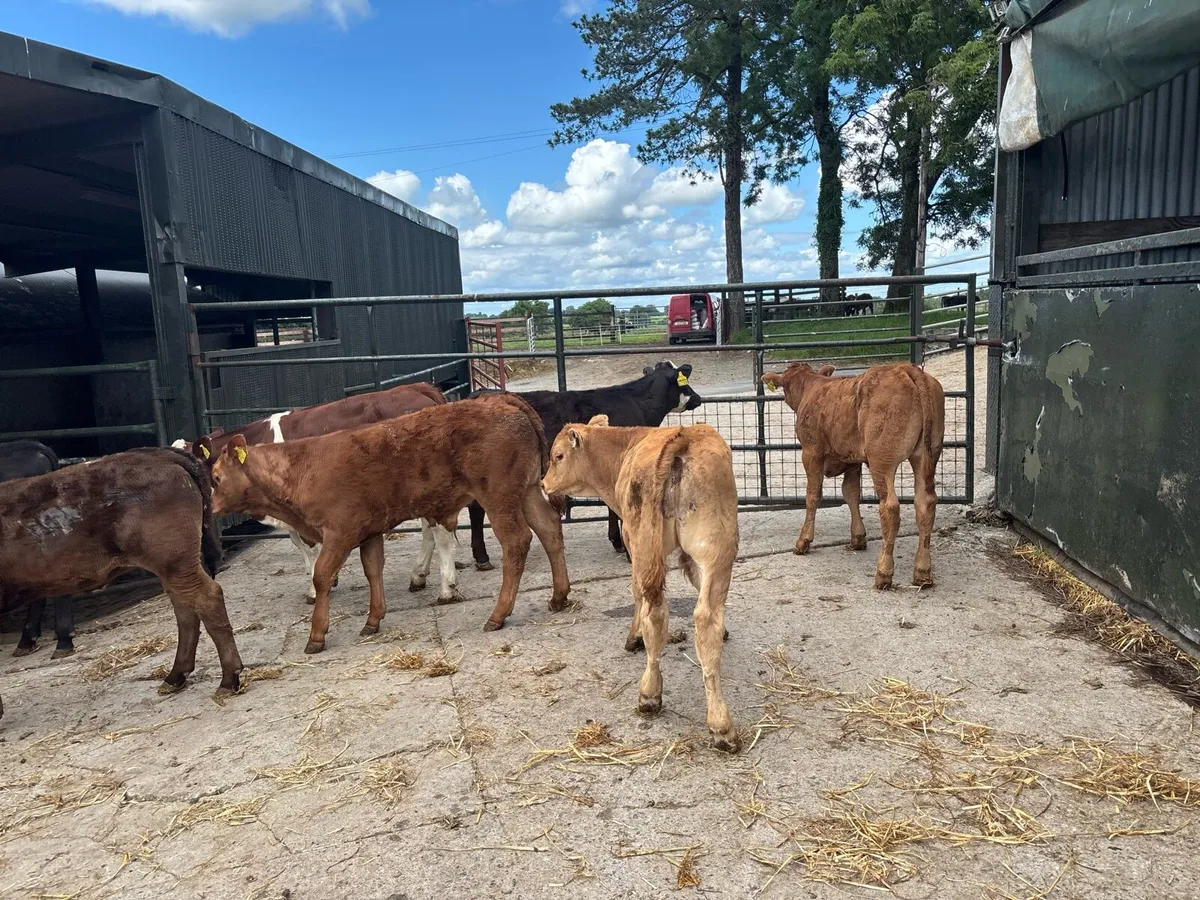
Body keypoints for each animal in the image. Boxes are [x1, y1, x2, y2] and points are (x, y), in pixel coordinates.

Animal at [176, 382, 462, 603]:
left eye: (191, 468)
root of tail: (415, 387)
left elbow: (307, 546)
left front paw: (315, 590)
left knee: (437, 530)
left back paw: (445, 587)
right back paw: (419, 575)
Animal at [208, 393, 571, 653]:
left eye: (215, 477)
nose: (210, 507)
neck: (300, 467)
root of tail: (501, 400)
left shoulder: (339, 532)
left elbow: (321, 575)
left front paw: (317, 634)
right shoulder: (369, 531)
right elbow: (373, 570)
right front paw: (373, 619)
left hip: (498, 496)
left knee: (517, 541)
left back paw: (498, 614)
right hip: (527, 491)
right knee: (550, 530)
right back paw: (559, 596)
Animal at [466, 361, 702, 570]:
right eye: (684, 382)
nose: (698, 398)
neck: (637, 403)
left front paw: (617, 542)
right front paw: (628, 550)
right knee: (476, 509)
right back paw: (482, 557)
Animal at [542, 415, 740, 753]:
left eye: (558, 456)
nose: (543, 484)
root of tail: (682, 436)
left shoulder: (630, 540)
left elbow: (635, 593)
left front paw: (633, 638)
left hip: (645, 544)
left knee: (654, 610)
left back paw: (649, 694)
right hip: (716, 547)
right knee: (706, 618)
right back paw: (720, 726)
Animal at [761, 362, 945, 589]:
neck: (812, 387)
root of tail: (906, 368)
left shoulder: (811, 452)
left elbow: (813, 496)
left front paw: (803, 541)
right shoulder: (851, 460)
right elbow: (850, 493)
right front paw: (858, 538)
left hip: (882, 459)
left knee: (890, 507)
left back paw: (884, 573)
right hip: (928, 455)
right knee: (925, 503)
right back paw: (922, 572)